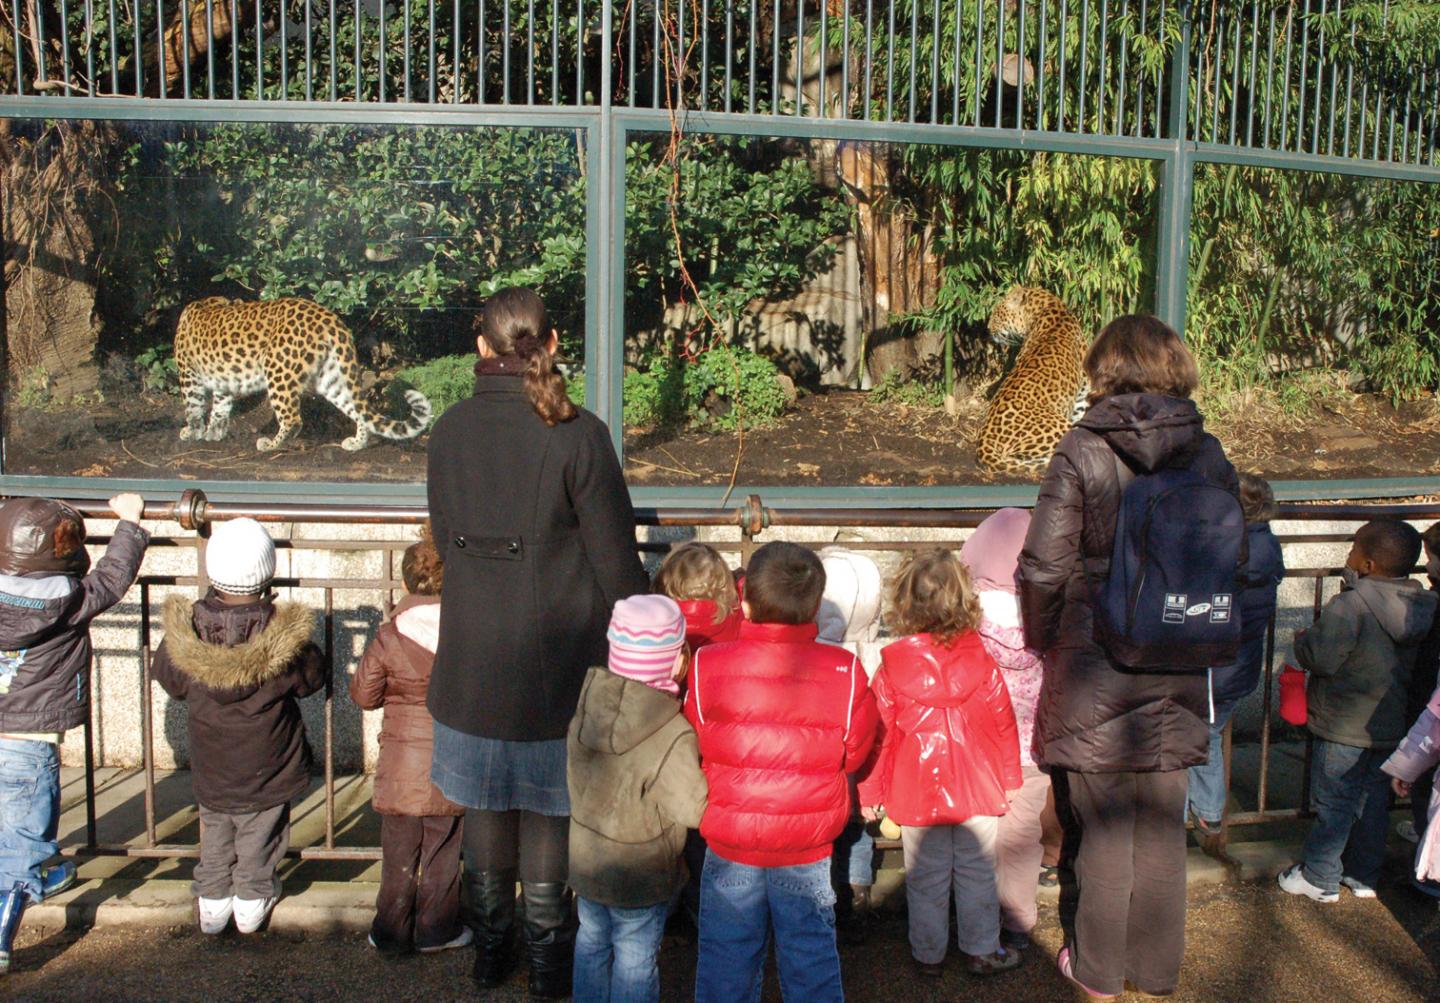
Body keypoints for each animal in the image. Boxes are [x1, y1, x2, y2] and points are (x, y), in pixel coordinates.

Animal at [172, 297, 426, 448]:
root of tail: (330, 319)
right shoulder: (222, 382)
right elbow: (220, 409)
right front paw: (214, 433)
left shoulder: (188, 375)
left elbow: (193, 407)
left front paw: (192, 432)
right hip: (332, 377)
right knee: (357, 408)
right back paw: (357, 443)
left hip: (277, 370)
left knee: (293, 418)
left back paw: (271, 445)